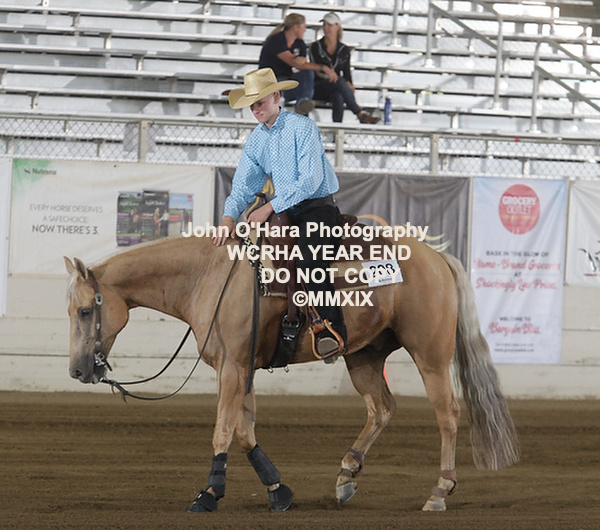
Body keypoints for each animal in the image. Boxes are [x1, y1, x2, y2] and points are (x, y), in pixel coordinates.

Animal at [64, 232, 519, 513]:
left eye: (85, 310)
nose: (78, 370)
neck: (208, 278)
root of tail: (436, 256)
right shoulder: (242, 368)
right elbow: (244, 430)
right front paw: (277, 491)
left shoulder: (232, 368)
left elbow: (223, 430)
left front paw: (208, 493)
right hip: (364, 356)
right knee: (381, 408)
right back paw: (346, 474)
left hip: (430, 355)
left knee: (447, 415)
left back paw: (439, 492)